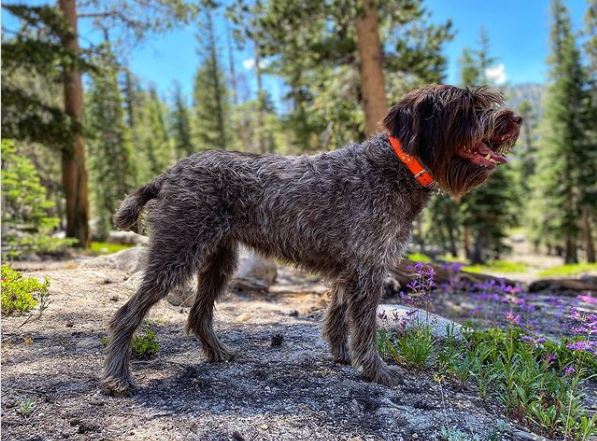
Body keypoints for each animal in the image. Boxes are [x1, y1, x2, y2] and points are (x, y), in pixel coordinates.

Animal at [103, 84, 520, 394]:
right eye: (467, 107)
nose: (514, 118)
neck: (396, 166)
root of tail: (169, 173)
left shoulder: (350, 270)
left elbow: (337, 317)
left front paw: (341, 357)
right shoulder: (368, 269)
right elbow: (365, 328)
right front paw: (376, 371)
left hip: (219, 260)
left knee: (198, 315)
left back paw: (218, 352)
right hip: (178, 252)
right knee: (126, 315)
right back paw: (117, 377)